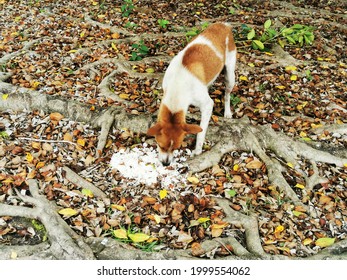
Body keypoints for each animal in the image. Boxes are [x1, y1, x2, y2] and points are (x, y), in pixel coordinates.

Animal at [147, 23, 237, 166]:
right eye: (160, 146)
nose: (166, 163)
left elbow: (201, 131)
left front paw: (198, 150)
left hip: (230, 75)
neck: (178, 83)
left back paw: (227, 112)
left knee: (227, 94)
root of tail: (224, 25)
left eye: (176, 148)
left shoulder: (207, 105)